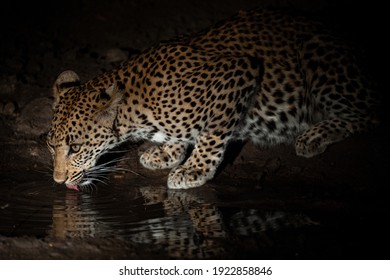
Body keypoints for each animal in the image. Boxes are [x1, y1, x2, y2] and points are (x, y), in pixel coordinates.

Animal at [45, 7, 378, 190]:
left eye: (75, 148)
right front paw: (167, 153)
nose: (58, 182)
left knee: (369, 113)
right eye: (51, 145)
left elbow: (212, 134)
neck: (136, 112)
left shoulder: (238, 72)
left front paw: (194, 169)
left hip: (317, 53)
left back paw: (312, 136)